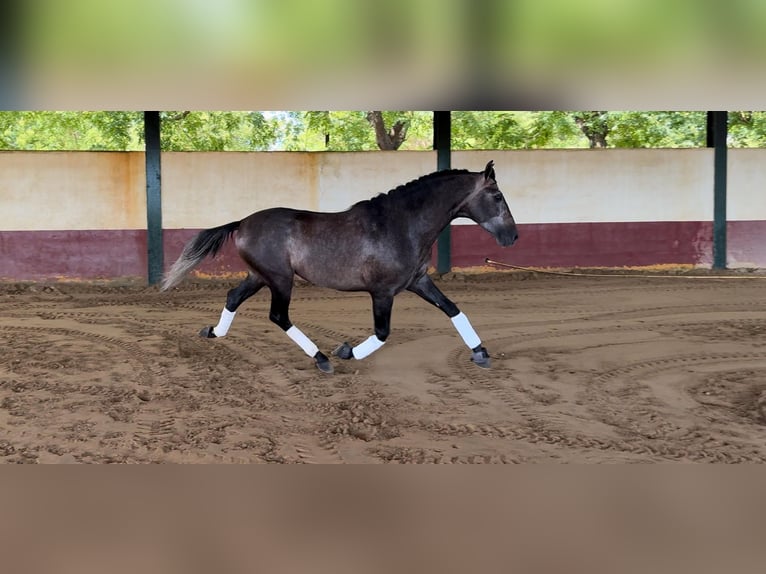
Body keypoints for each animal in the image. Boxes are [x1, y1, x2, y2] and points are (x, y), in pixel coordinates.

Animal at [162, 161, 520, 374]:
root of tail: (242, 223)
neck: (401, 224)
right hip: (280, 279)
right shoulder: (382, 292)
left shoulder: (418, 281)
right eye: (497, 196)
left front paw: (481, 353)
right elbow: (382, 332)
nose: (513, 236)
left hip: (259, 276)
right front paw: (345, 351)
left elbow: (453, 309)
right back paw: (321, 359)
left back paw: (212, 331)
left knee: (233, 297)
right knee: (278, 316)